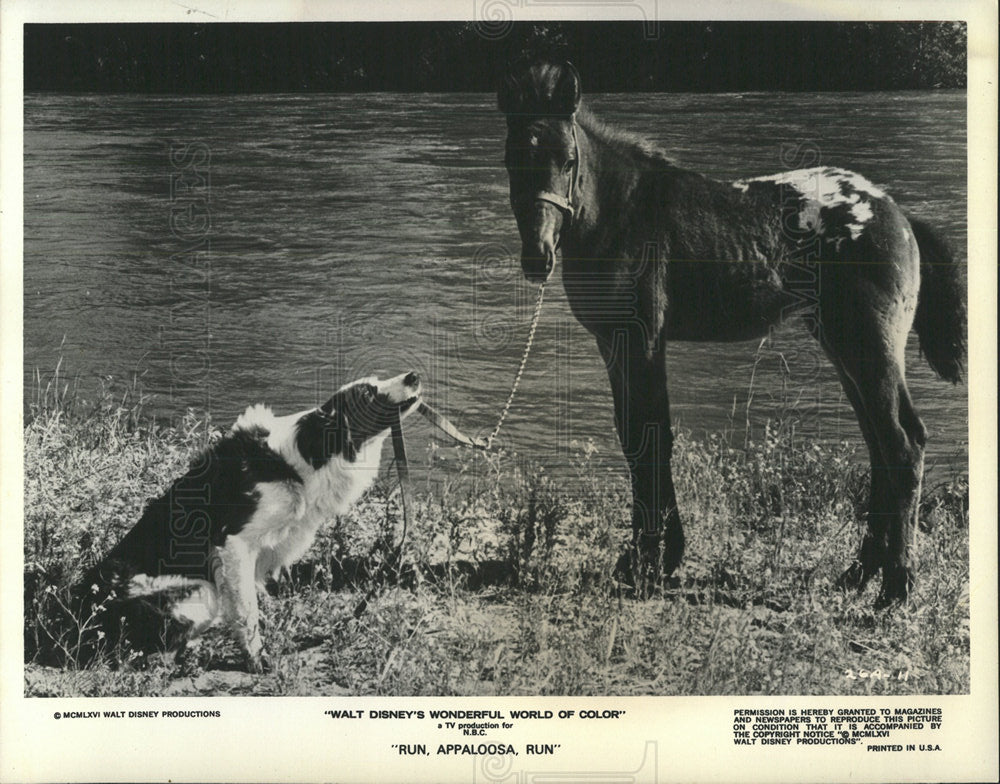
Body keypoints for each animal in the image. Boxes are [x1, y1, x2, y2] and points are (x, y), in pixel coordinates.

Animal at [79, 370, 422, 672]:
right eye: (369, 392)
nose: (414, 376)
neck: (301, 461)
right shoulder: (235, 544)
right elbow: (248, 612)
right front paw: (257, 658)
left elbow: (250, 599)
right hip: (199, 591)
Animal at [496, 59, 964, 608]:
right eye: (510, 160)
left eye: (569, 161)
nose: (537, 257)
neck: (622, 213)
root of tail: (898, 213)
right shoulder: (614, 341)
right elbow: (639, 436)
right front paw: (652, 558)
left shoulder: (640, 338)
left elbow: (648, 438)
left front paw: (648, 562)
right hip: (843, 346)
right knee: (879, 446)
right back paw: (858, 573)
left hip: (869, 346)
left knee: (903, 443)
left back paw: (895, 586)